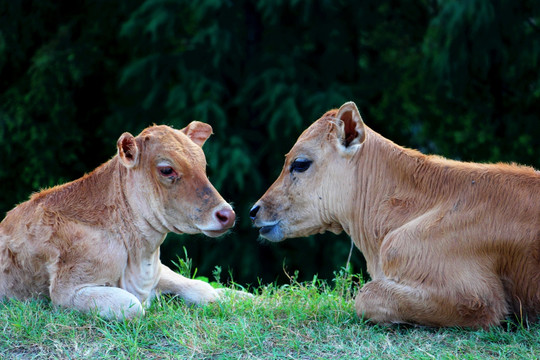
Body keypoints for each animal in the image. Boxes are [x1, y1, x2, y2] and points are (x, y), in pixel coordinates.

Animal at [0, 122, 236, 320]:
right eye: (167, 169)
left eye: (203, 165)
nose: (227, 215)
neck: (141, 258)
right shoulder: (66, 290)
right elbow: (133, 307)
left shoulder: (159, 270)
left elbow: (206, 291)